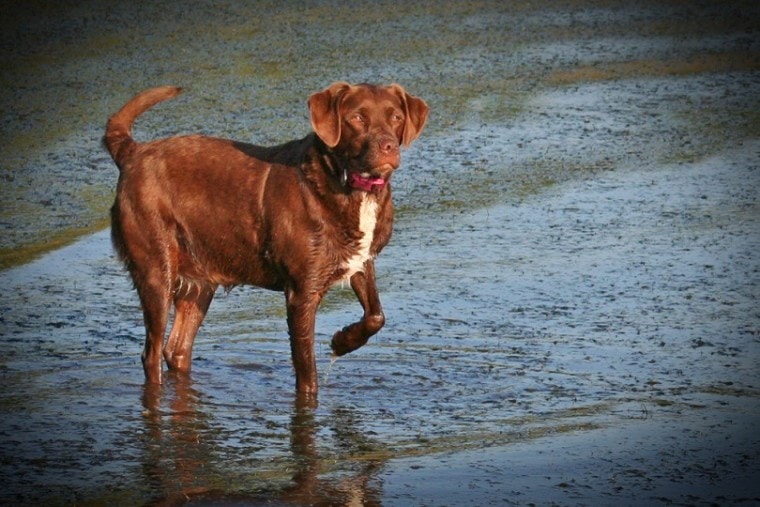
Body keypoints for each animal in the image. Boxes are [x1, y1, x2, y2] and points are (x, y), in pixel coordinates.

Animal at [104, 83, 428, 394]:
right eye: (357, 118)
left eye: (396, 117)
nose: (388, 146)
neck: (348, 186)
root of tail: (132, 152)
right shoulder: (301, 291)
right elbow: (307, 371)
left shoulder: (360, 259)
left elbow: (376, 315)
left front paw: (341, 341)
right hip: (155, 268)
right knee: (152, 353)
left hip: (199, 281)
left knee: (177, 349)